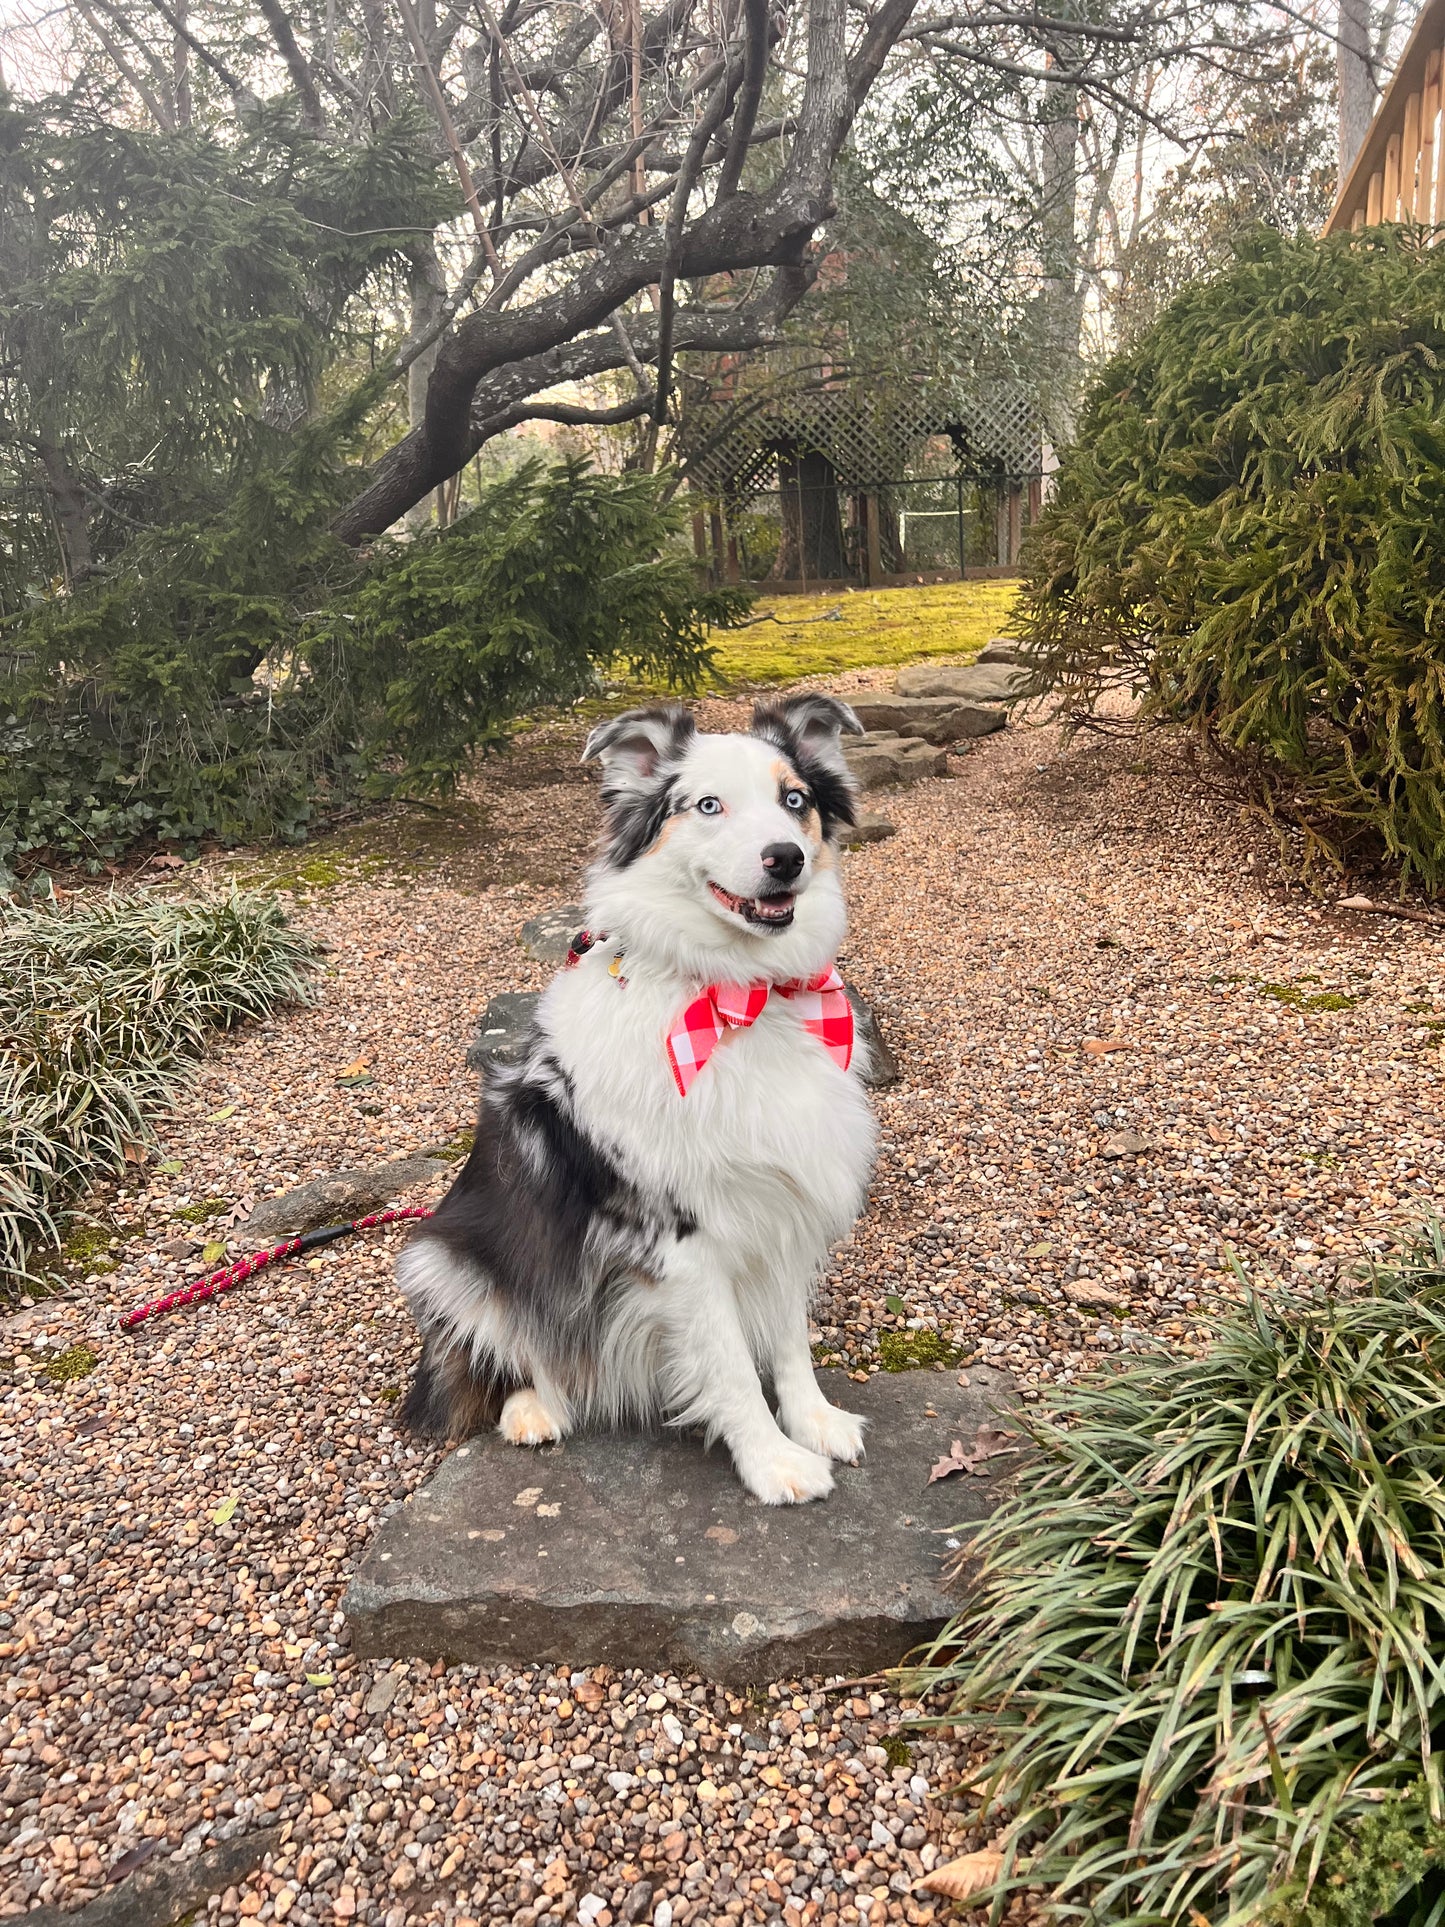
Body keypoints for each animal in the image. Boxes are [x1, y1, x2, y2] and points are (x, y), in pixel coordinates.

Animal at [393, 693, 882, 1503]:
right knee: (515, 1348)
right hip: (441, 1257)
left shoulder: (783, 1200)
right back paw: (534, 1406)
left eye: (795, 800)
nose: (785, 857)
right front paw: (772, 1462)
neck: (734, 995)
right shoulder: (677, 1234)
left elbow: (787, 1337)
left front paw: (813, 1420)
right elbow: (728, 1366)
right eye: (707, 805)